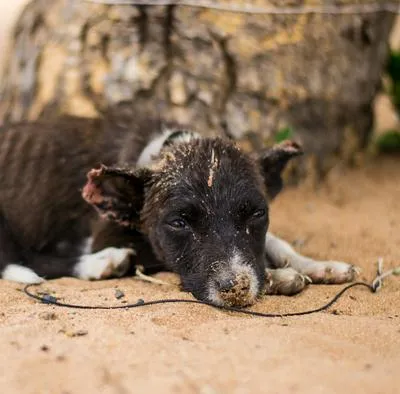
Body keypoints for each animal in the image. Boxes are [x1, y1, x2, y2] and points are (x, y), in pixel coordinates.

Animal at [0, 105, 356, 308]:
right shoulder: (111, 236)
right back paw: (101, 264)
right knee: (24, 258)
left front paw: (319, 266)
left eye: (257, 214)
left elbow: (274, 241)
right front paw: (277, 277)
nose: (236, 289)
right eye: (179, 223)